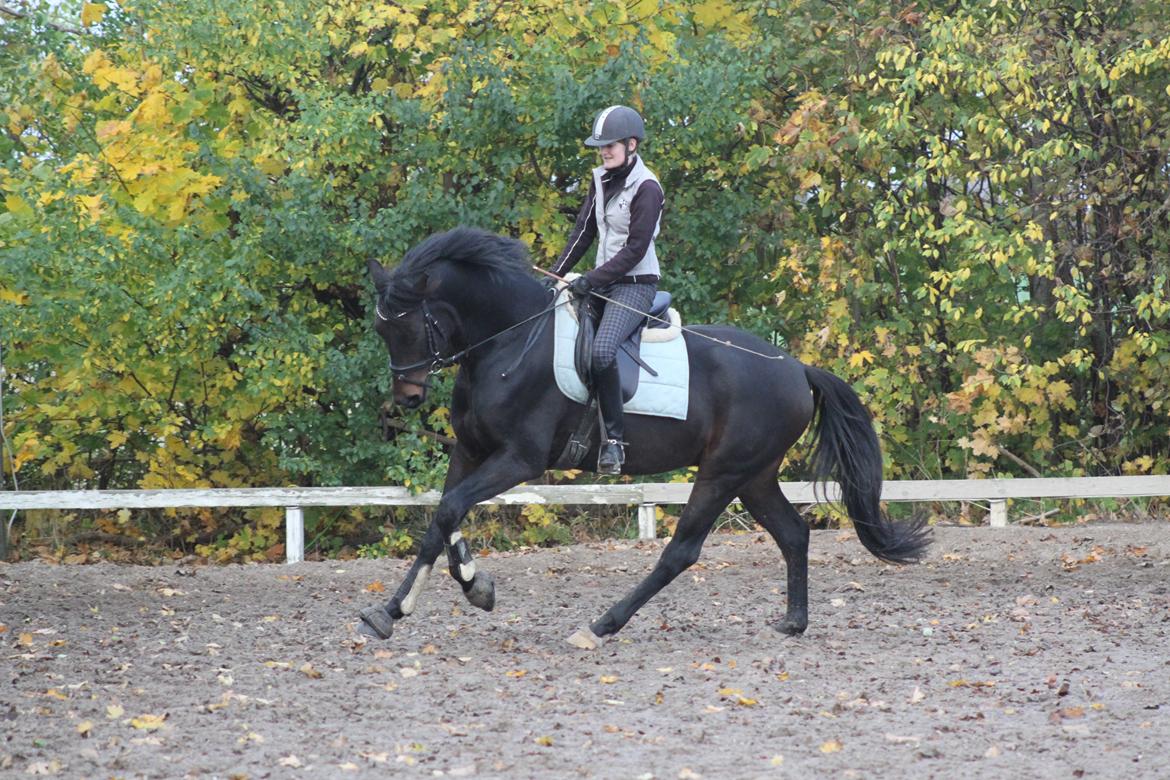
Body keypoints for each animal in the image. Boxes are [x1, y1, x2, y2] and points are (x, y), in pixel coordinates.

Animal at [360, 229, 926, 650]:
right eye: (383, 330)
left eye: (410, 326)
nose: (407, 397)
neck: (509, 340)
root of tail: (796, 369)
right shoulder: (471, 450)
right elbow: (442, 518)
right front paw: (416, 603)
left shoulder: (519, 460)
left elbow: (451, 508)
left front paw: (451, 592)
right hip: (755, 476)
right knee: (793, 534)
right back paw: (793, 622)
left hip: (723, 474)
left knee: (682, 552)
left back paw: (600, 625)